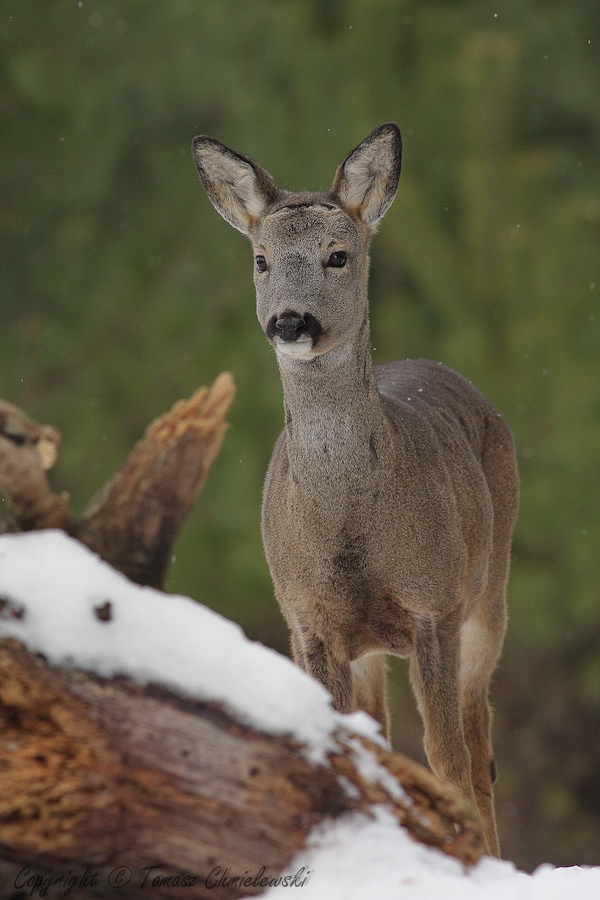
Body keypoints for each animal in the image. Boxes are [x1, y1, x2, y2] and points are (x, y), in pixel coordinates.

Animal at [193, 123, 520, 856]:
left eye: (338, 255)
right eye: (261, 259)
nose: (290, 322)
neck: (350, 527)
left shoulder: (434, 603)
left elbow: (447, 755)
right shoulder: (307, 616)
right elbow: (348, 746)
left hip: (489, 590)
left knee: (478, 738)